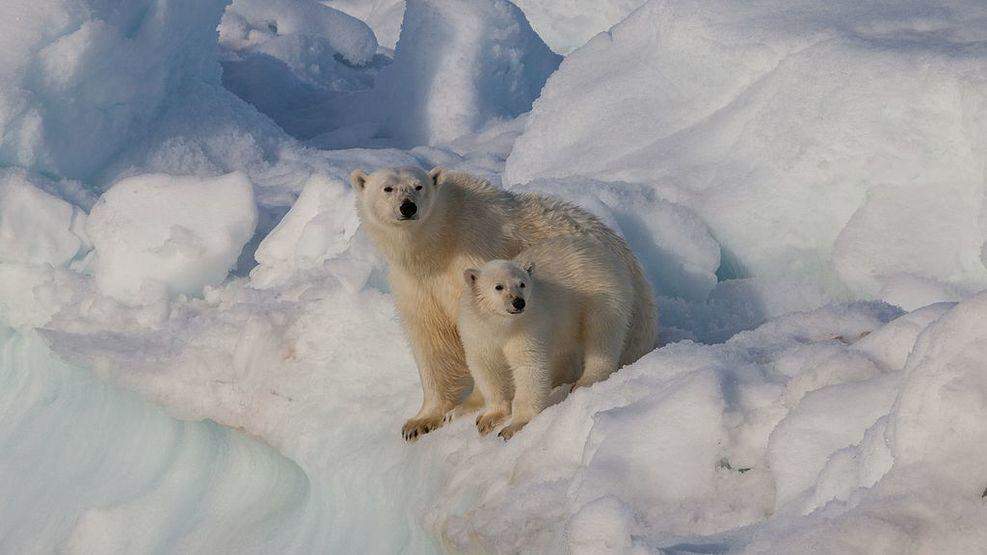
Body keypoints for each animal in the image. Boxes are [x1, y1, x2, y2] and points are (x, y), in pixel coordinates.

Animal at [350, 167, 656, 440]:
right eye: (388, 188)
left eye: (418, 186)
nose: (408, 207)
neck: (437, 244)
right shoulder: (415, 284)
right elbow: (431, 339)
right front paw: (419, 421)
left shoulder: (474, 254)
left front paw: (467, 407)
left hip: (607, 296)